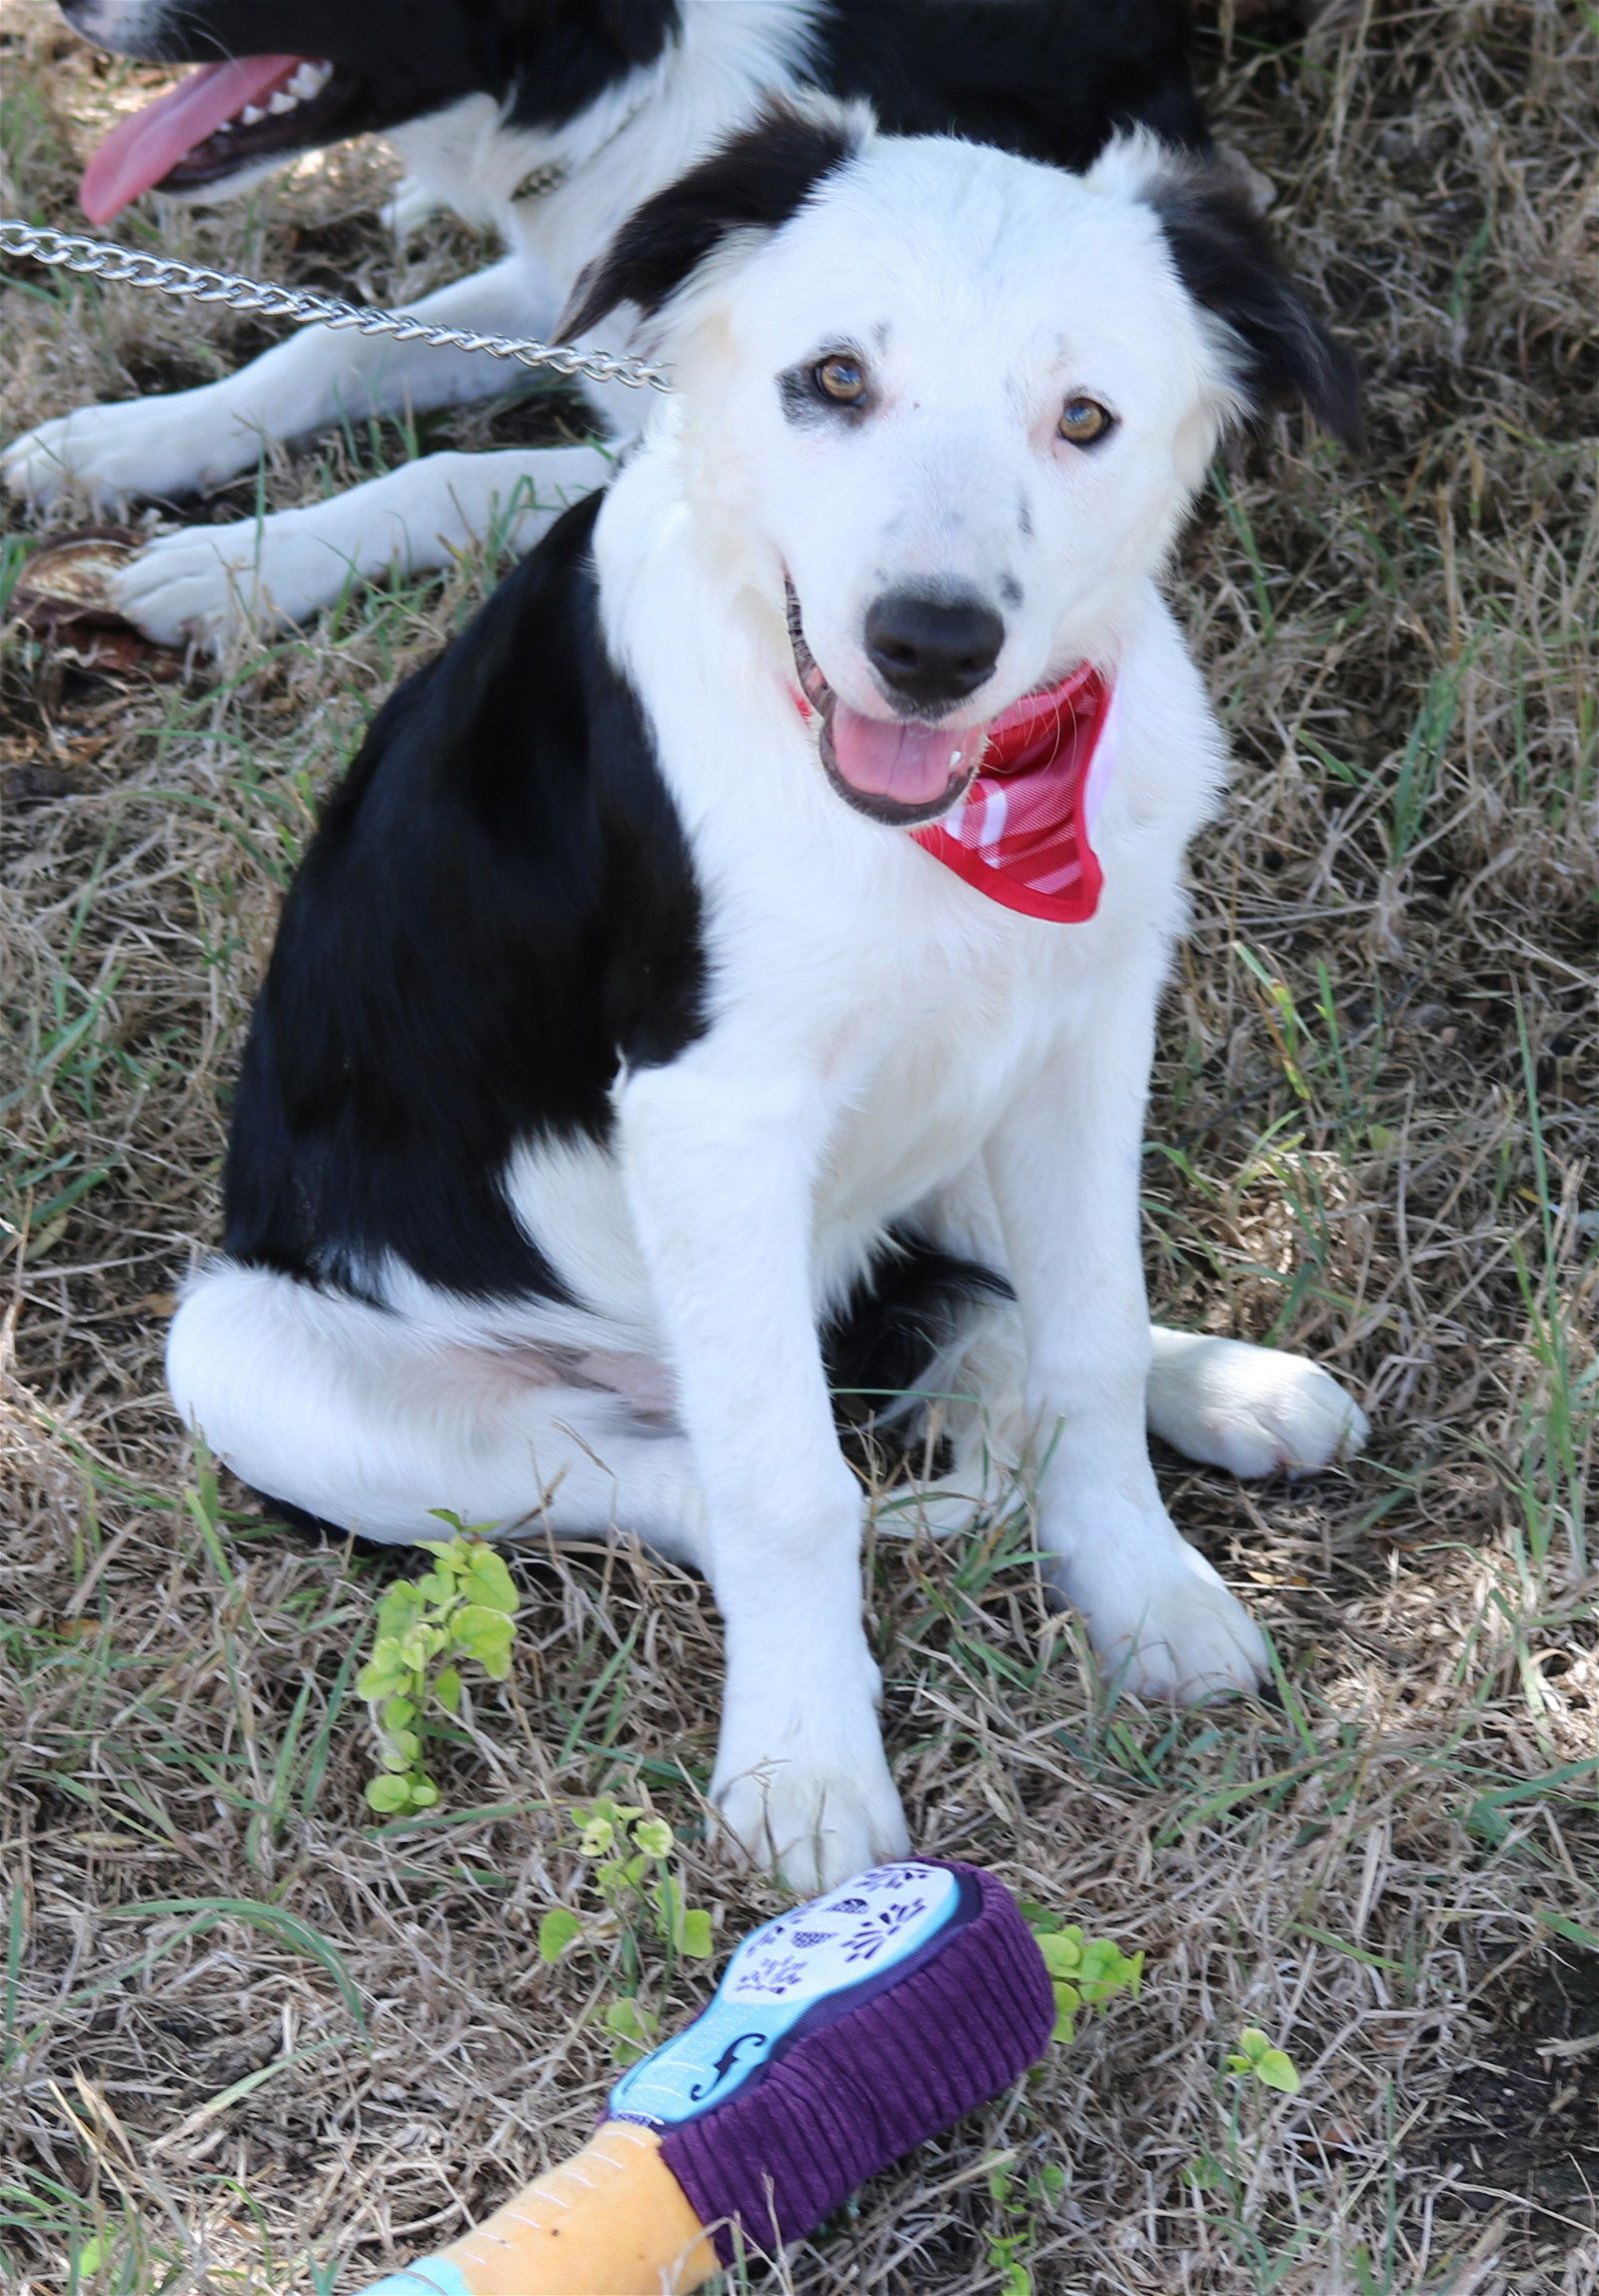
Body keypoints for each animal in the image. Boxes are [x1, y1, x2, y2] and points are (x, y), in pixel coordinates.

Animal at [0, 2, 1192, 647]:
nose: (61, 12)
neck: (638, 85)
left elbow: (439, 476)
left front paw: (235, 566)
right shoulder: (576, 280)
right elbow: (330, 343)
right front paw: (121, 442)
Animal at [161, 103, 1367, 1882]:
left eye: (1085, 419)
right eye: (834, 380)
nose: (930, 643)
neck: (949, 813)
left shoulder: (1085, 1031)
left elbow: (1088, 1328)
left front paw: (1144, 1588)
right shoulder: (712, 1115)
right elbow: (793, 1489)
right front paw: (805, 1765)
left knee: (987, 1300)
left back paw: (1225, 1386)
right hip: (255, 1357)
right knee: (695, 1478)